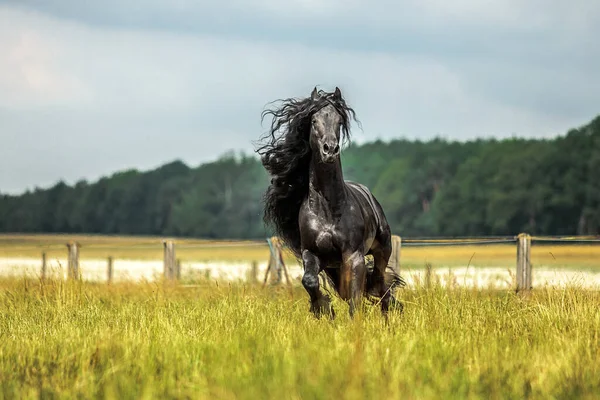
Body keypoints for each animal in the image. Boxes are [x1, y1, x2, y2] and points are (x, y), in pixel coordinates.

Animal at [256, 87, 404, 318]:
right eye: (314, 120)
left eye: (339, 121)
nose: (330, 149)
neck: (327, 209)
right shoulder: (312, 254)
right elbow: (309, 281)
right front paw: (323, 309)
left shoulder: (353, 256)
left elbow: (356, 296)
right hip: (334, 267)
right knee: (370, 288)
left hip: (383, 249)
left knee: (379, 284)